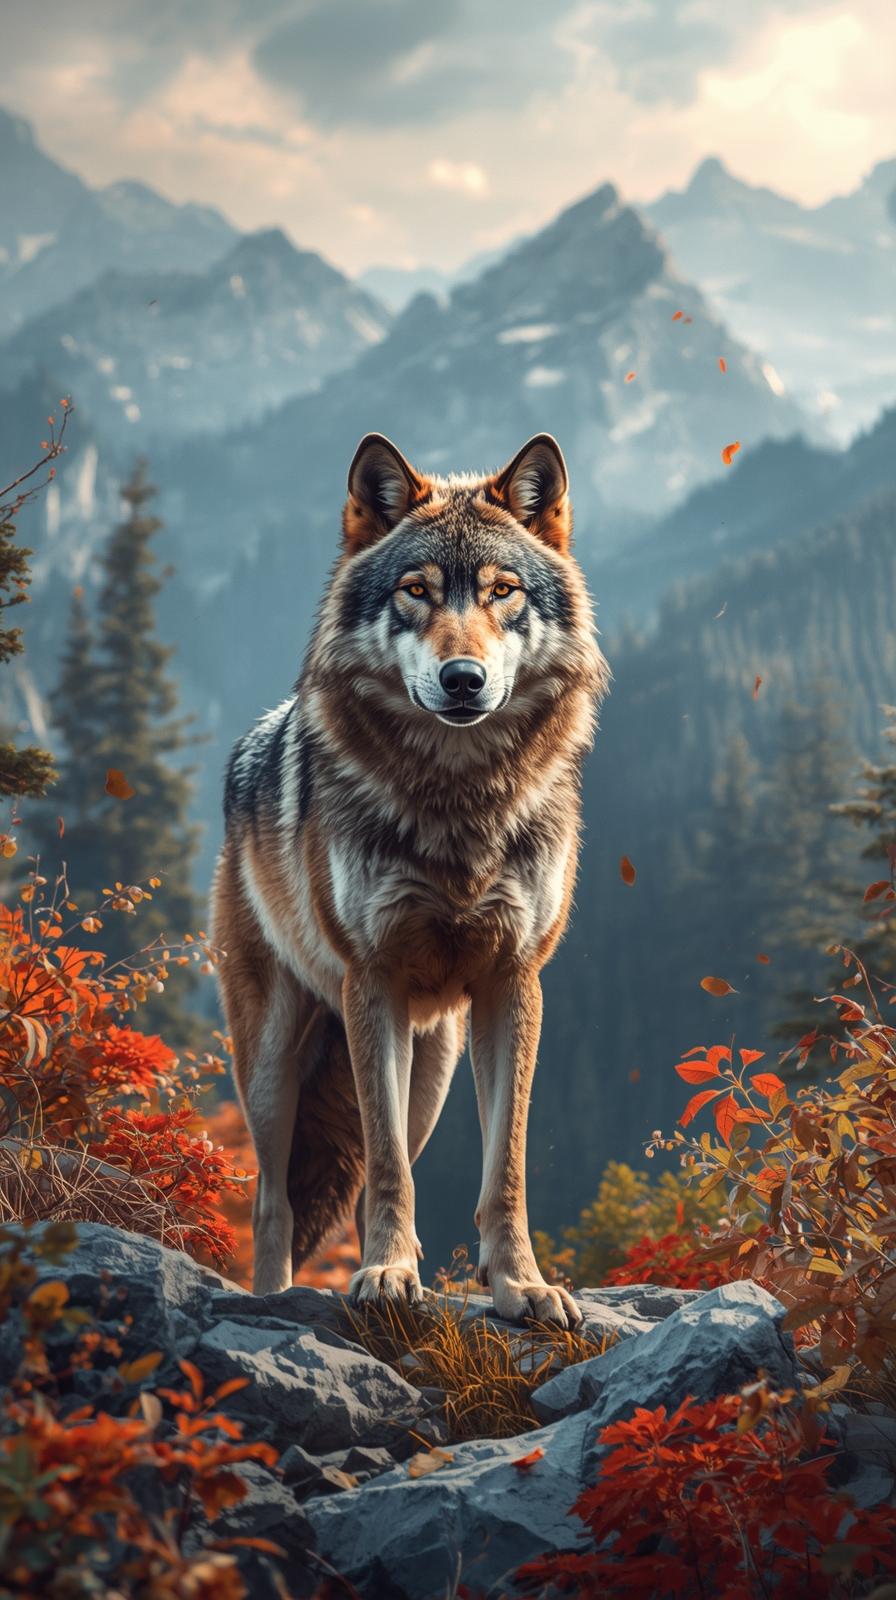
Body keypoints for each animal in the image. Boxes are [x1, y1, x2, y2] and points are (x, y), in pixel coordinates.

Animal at [212, 432, 609, 1327]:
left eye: (501, 592)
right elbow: (389, 1167)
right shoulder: (373, 981)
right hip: (273, 1064)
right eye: (416, 592)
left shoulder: (513, 984)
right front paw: (389, 1276)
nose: (463, 679)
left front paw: (521, 1286)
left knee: (364, 1176)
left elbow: (504, 1167)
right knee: (274, 1201)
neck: (458, 799)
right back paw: (277, 1297)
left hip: (431, 1069)